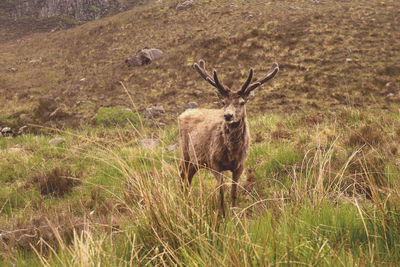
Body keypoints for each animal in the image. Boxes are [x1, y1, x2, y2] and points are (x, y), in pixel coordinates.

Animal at [178, 59, 278, 216]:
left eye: (242, 102)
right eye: (224, 102)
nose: (228, 115)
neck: (232, 152)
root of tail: (182, 114)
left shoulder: (240, 165)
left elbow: (234, 192)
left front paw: (234, 212)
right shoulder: (214, 163)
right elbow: (221, 192)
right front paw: (222, 214)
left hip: (196, 161)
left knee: (188, 177)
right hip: (185, 153)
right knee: (182, 174)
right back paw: (184, 203)